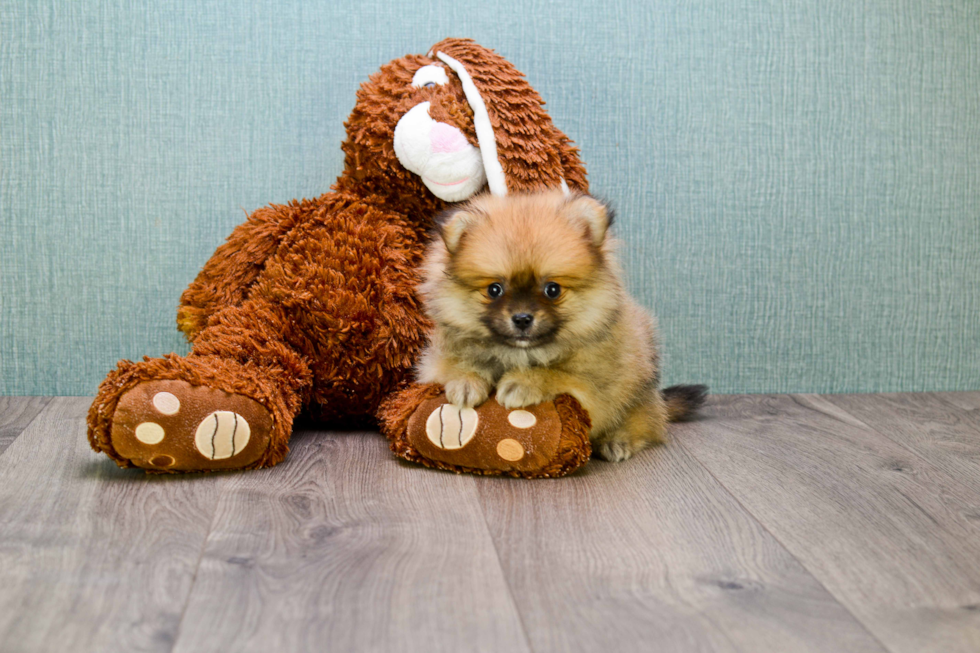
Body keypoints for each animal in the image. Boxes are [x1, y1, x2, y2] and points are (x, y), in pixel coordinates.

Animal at [414, 191, 704, 460]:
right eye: (494, 289)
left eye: (552, 289)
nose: (522, 318)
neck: (519, 353)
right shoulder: (434, 364)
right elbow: (456, 365)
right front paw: (465, 381)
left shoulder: (594, 387)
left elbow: (557, 373)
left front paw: (522, 383)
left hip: (639, 394)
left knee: (647, 422)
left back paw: (617, 441)